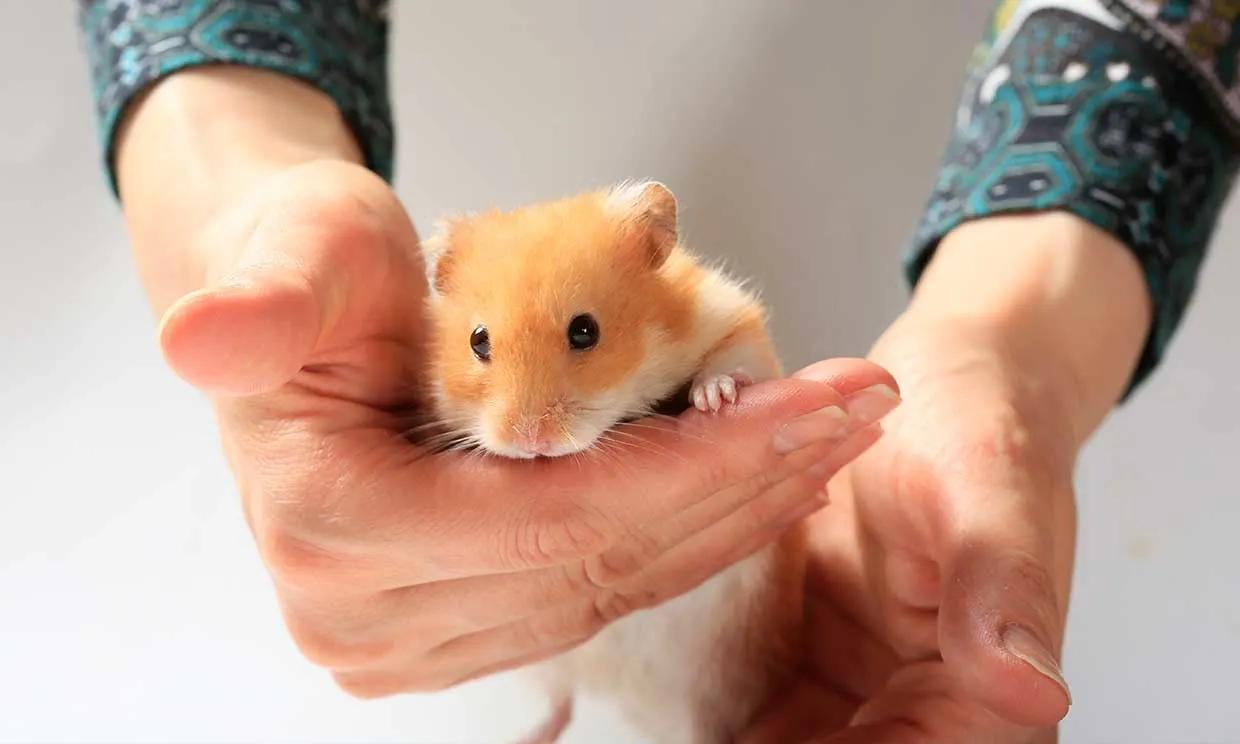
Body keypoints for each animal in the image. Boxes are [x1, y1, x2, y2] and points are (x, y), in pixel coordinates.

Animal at [420, 181, 804, 744]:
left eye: (585, 331)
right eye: (478, 341)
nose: (531, 440)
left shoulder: (734, 322)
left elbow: (733, 362)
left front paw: (715, 399)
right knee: (563, 706)